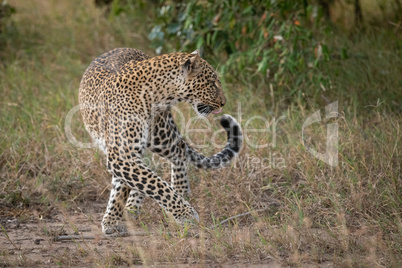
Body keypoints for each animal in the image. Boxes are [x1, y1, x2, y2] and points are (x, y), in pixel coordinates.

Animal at [78, 48, 242, 234]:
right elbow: (151, 183)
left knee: (179, 150)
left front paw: (183, 213)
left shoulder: (124, 155)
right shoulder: (122, 154)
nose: (223, 102)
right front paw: (113, 219)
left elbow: (144, 183)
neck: (156, 92)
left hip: (159, 134)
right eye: (213, 83)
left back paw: (178, 193)